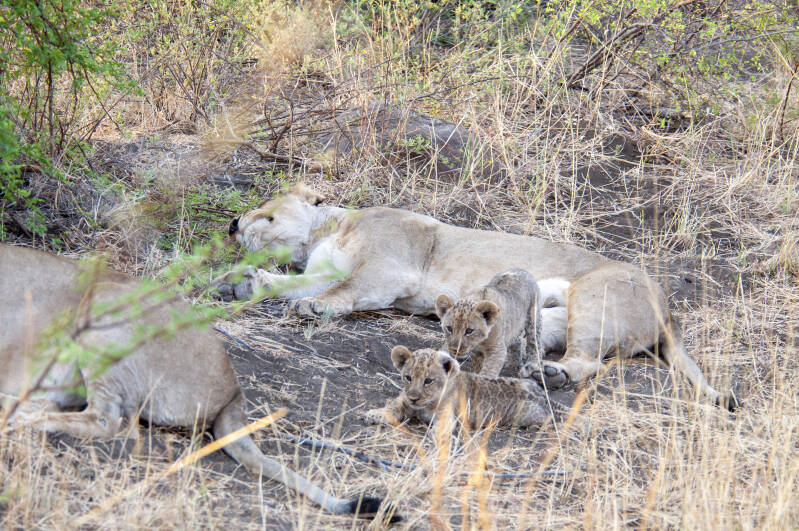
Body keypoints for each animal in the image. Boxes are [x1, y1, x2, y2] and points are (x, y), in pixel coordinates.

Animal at [218, 184, 736, 409]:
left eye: (265, 213)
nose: (233, 224)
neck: (328, 231)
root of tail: (668, 304)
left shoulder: (391, 268)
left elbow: (344, 290)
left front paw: (313, 306)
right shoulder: (325, 266)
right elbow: (288, 282)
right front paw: (239, 282)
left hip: (595, 293)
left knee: (588, 361)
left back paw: (553, 375)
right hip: (544, 316)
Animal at [363, 346, 569, 431]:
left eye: (428, 381)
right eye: (408, 377)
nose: (414, 397)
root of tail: (543, 395)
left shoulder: (449, 413)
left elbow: (443, 424)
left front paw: (439, 434)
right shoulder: (404, 400)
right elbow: (393, 405)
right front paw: (376, 414)